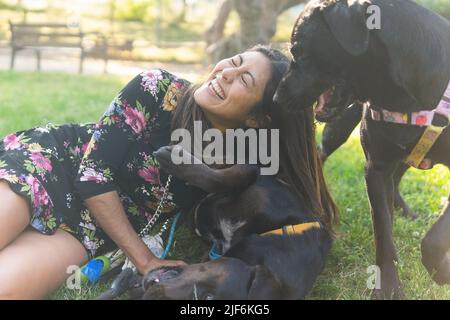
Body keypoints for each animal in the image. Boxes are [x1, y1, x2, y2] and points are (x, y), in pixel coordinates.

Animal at [274, 0, 450, 300]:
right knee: (319, 156)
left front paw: (440, 271)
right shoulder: (376, 168)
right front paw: (389, 288)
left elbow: (436, 236)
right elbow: (383, 233)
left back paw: (406, 211)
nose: (276, 97)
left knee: (398, 177)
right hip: (340, 129)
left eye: (299, 51)